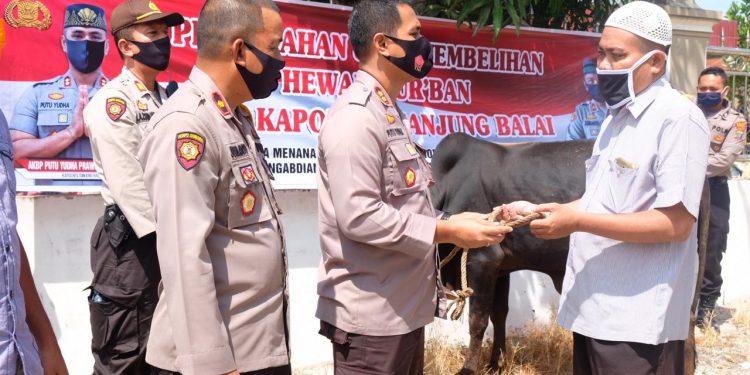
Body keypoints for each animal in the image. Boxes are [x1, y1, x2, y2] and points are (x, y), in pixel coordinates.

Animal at [432, 134, 596, 374]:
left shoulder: (483, 259)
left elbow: (478, 320)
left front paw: (468, 368)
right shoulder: (501, 268)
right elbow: (499, 314)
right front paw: (495, 363)